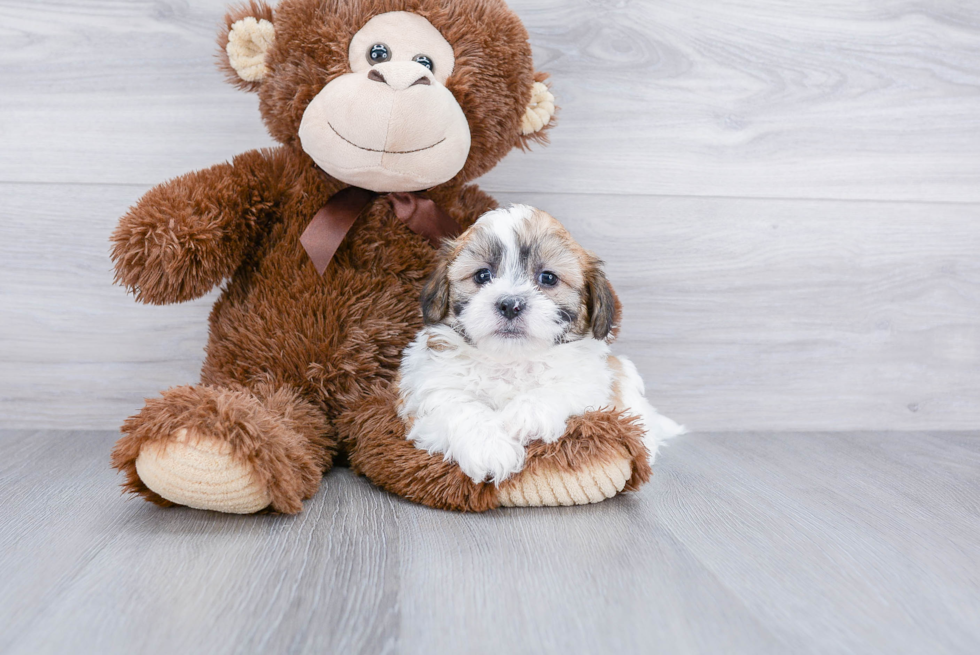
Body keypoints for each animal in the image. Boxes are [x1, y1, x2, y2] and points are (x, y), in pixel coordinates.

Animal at [392, 206, 680, 486]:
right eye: (483, 275)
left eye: (548, 278)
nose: (510, 304)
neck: (510, 360)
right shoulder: (432, 387)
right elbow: (460, 407)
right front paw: (489, 447)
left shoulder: (591, 383)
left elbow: (563, 387)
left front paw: (524, 416)